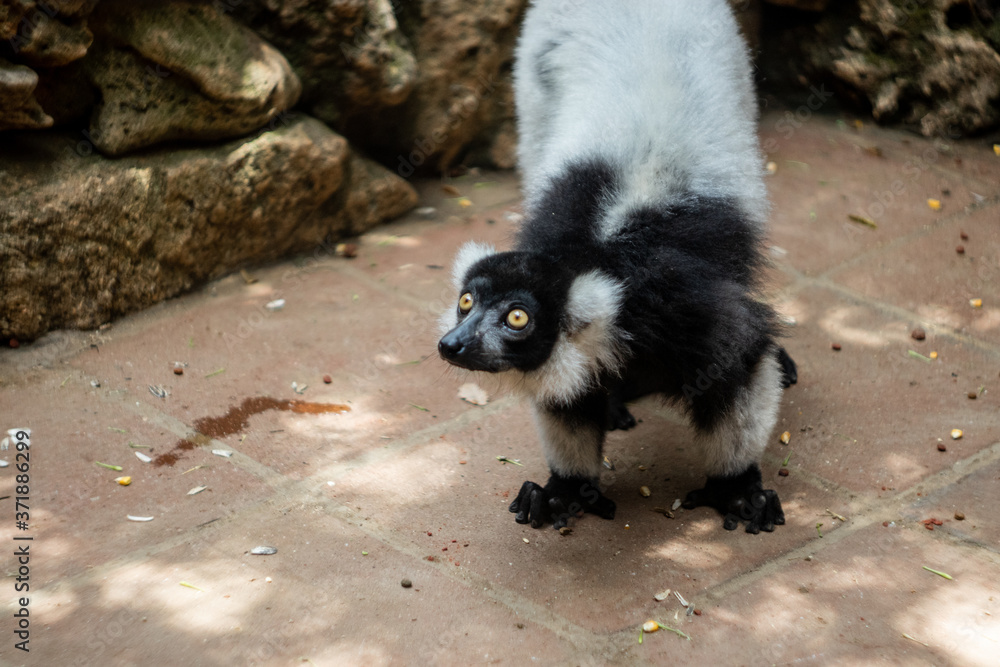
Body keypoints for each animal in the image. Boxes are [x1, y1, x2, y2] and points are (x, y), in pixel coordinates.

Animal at [438, 0, 798, 534]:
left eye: (517, 318)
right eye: (466, 303)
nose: (452, 344)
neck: (601, 255)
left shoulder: (683, 309)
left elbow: (741, 356)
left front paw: (735, 487)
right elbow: (568, 402)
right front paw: (566, 489)